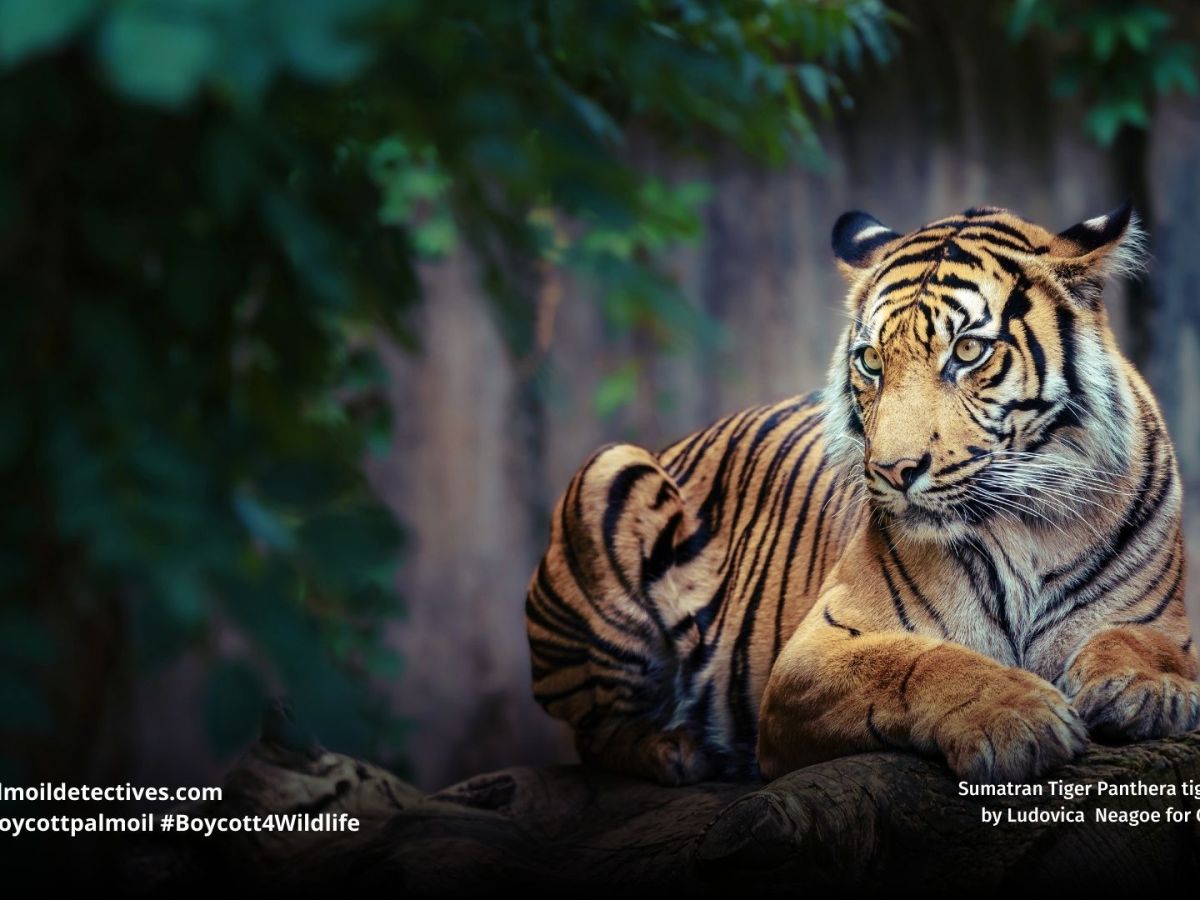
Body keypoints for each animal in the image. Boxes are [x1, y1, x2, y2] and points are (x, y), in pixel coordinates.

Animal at [524, 202, 1199, 786]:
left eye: (968, 350)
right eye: (872, 360)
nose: (894, 469)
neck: (1024, 524)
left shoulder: (1161, 618)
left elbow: (1148, 641)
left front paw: (1147, 688)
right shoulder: (812, 654)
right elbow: (918, 663)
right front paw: (1018, 716)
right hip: (612, 470)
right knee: (595, 730)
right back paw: (676, 750)